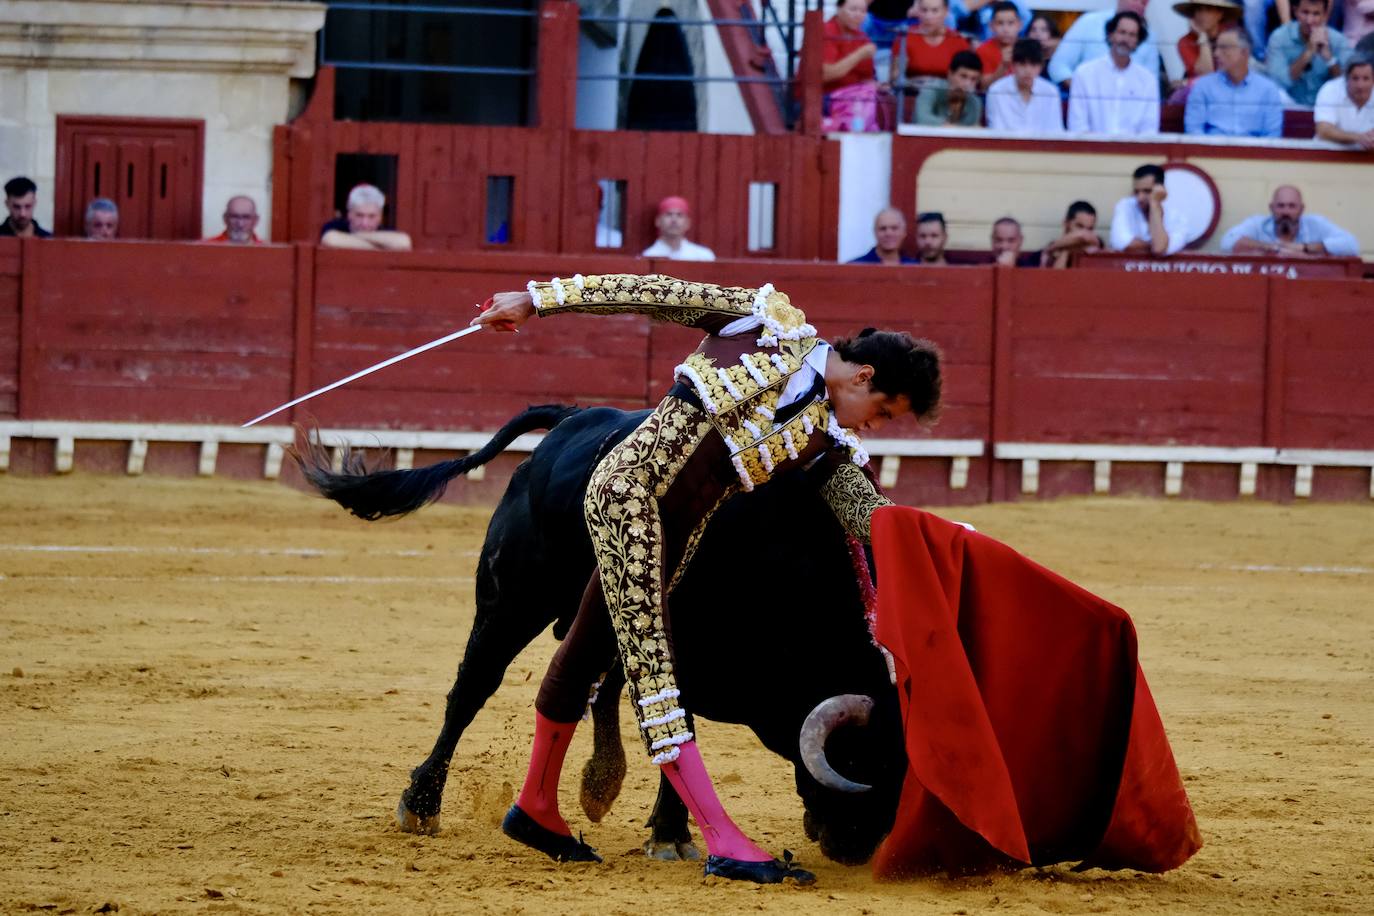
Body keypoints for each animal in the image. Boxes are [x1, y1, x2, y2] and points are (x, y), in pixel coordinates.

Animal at [295, 406, 906, 867]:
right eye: (861, 762)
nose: (858, 847)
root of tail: (573, 417)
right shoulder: (672, 647)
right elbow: (675, 724)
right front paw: (671, 834)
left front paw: (664, 827)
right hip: (511, 601)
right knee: (473, 689)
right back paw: (423, 802)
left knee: (594, 686)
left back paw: (600, 780)